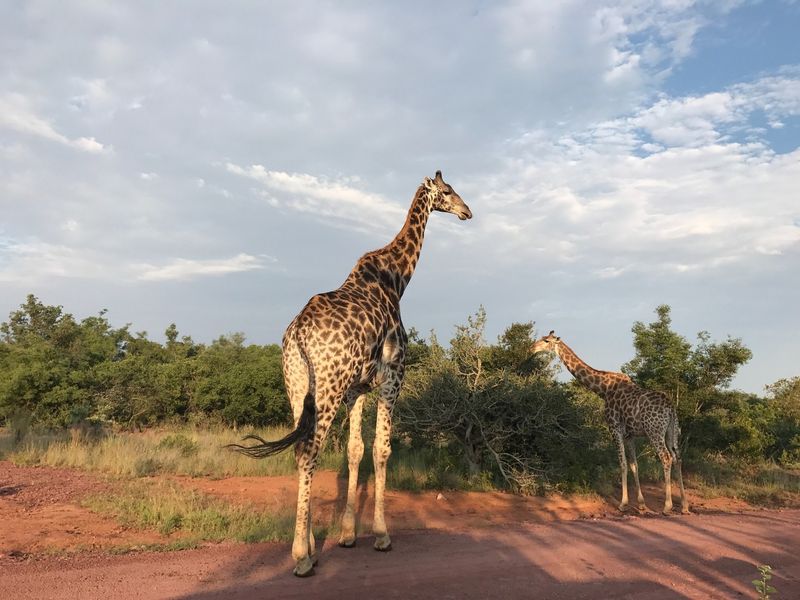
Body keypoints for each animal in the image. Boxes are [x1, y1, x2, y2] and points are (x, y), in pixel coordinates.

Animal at [228, 171, 472, 576]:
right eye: (449, 191)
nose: (468, 211)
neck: (396, 279)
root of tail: (297, 334)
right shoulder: (393, 377)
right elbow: (382, 449)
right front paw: (382, 535)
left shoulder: (357, 389)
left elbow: (355, 450)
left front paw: (346, 534)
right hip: (327, 388)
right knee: (309, 451)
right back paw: (301, 557)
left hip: (298, 387)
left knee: (301, 448)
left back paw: (311, 546)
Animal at [531, 331, 689, 515]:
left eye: (546, 341)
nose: (531, 348)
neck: (603, 389)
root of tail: (671, 408)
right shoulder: (629, 435)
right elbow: (634, 465)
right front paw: (641, 505)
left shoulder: (614, 428)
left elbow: (622, 463)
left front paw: (623, 504)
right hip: (671, 431)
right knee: (677, 458)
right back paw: (684, 506)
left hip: (654, 431)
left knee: (666, 457)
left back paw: (667, 506)